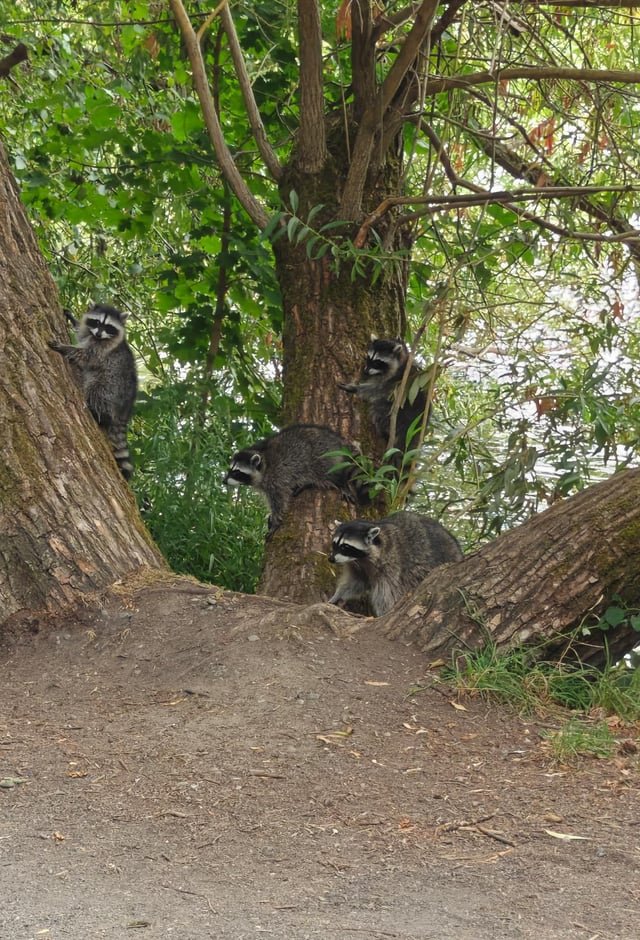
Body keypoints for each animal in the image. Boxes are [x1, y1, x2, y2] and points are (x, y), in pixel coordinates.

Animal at [48, 304, 138, 480]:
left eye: (108, 327)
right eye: (97, 322)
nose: (97, 333)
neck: (99, 338)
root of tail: (126, 408)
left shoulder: (102, 350)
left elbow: (85, 355)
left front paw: (64, 347)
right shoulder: (90, 334)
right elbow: (82, 335)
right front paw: (74, 320)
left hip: (112, 385)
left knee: (97, 392)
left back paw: (100, 415)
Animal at [224, 424, 361, 535]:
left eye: (236, 472)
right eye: (230, 469)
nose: (223, 481)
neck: (264, 464)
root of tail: (338, 442)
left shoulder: (276, 478)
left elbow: (279, 502)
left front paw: (275, 521)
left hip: (322, 454)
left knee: (327, 473)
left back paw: (340, 482)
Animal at [328, 510, 462, 616]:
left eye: (345, 547)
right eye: (334, 544)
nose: (331, 559)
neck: (361, 559)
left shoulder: (392, 565)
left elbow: (387, 593)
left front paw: (384, 613)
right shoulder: (358, 567)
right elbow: (355, 583)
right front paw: (337, 595)